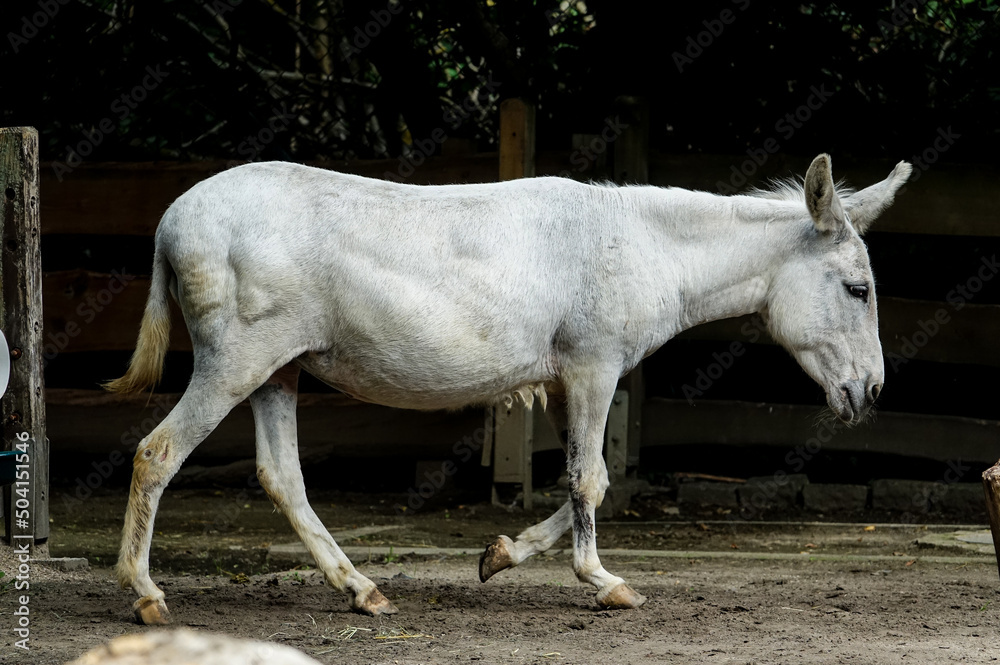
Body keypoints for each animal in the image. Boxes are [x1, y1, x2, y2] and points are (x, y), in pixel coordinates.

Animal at [105, 153, 911, 624]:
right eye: (859, 288)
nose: (869, 392)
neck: (638, 243)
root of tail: (174, 218)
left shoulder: (559, 382)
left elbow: (591, 480)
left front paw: (499, 556)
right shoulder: (592, 368)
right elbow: (589, 481)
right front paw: (604, 580)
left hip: (279, 372)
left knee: (283, 477)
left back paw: (362, 590)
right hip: (234, 364)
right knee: (157, 453)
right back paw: (145, 595)